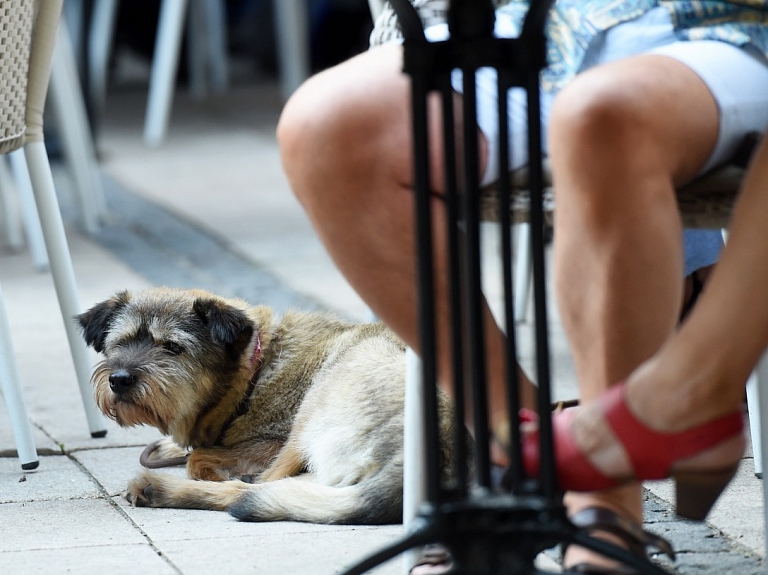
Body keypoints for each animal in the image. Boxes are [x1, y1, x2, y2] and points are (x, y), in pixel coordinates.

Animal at [78, 288, 456, 528]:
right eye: (120, 343)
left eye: (172, 347)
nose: (120, 379)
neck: (255, 371)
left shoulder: (275, 439)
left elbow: (199, 458)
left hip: (329, 382)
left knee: (256, 488)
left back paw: (161, 488)